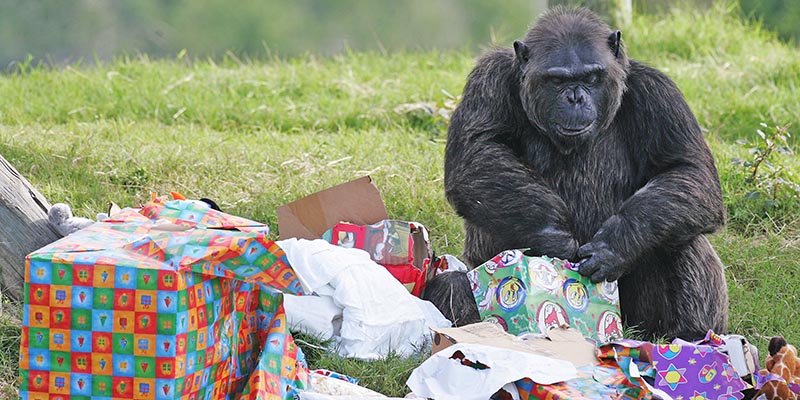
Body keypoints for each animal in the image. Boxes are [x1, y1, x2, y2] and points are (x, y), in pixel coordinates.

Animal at [424, 6, 732, 340]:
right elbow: (476, 155)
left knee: (681, 233)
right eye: (557, 80)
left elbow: (689, 171)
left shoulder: (660, 94)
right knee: (452, 284)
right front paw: (553, 235)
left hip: (641, 319)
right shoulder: (487, 80)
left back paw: (692, 337)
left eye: (591, 77)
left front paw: (616, 243)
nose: (575, 97)